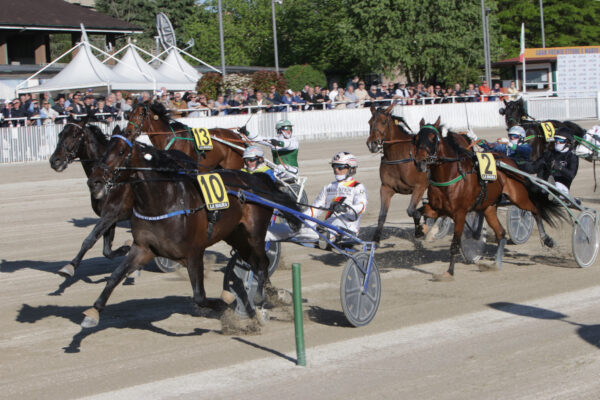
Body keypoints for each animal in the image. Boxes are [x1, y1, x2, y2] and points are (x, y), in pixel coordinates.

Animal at [48, 116, 132, 278]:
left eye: (74, 135)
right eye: (60, 135)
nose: (55, 161)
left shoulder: (111, 214)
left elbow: (89, 240)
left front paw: (70, 266)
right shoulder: (109, 216)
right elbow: (107, 250)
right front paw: (126, 248)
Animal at [84, 135, 300, 328]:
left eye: (121, 152)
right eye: (104, 152)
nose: (94, 181)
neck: (165, 201)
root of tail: (258, 180)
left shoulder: (194, 252)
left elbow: (200, 297)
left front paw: (227, 302)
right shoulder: (143, 248)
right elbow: (115, 276)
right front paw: (93, 312)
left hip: (254, 234)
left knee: (262, 263)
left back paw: (260, 301)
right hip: (236, 236)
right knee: (255, 263)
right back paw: (273, 296)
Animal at [364, 104, 428, 242]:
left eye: (383, 121)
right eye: (370, 122)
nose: (372, 144)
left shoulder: (420, 186)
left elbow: (412, 211)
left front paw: (420, 230)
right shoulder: (386, 188)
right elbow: (382, 215)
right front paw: (375, 239)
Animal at [414, 117, 564, 280]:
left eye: (433, 138)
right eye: (416, 138)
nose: (419, 162)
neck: (450, 176)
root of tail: (510, 163)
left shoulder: (460, 214)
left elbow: (455, 244)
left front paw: (449, 272)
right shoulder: (437, 209)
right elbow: (417, 213)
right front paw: (421, 230)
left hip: (519, 198)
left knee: (535, 210)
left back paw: (547, 239)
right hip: (489, 208)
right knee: (501, 233)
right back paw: (495, 265)